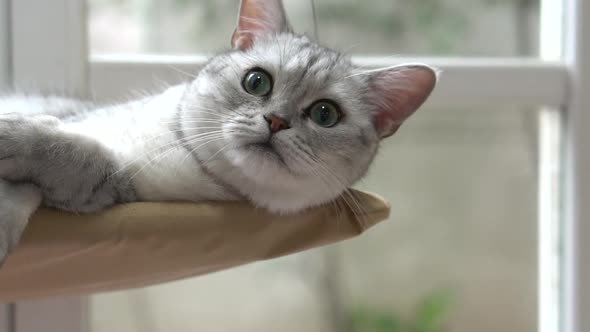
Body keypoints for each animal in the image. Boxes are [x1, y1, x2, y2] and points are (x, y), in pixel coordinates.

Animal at [0, 0, 440, 264]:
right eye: (257, 82)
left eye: (325, 114)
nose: (276, 121)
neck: (178, 144)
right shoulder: (80, 121)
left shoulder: (113, 184)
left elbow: (73, 157)